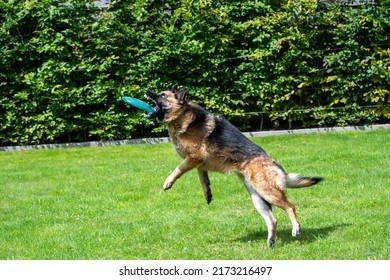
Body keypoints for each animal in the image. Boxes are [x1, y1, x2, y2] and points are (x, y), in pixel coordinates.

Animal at [145, 84, 322, 246]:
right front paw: (207, 193)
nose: (146, 90)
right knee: (273, 219)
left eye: (162, 95)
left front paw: (168, 182)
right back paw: (270, 242)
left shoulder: (193, 158)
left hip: (267, 191)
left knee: (291, 206)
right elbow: (203, 179)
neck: (182, 115)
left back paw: (296, 228)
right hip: (258, 198)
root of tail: (275, 165)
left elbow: (178, 169)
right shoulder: (200, 164)